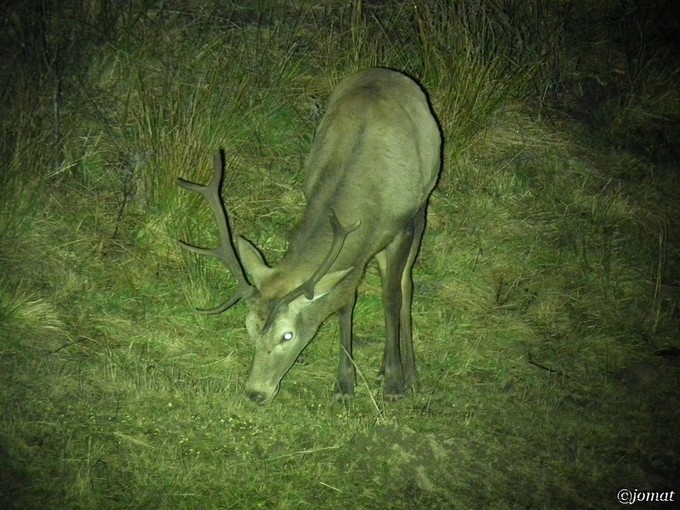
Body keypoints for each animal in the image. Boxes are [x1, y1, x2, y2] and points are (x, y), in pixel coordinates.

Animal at [178, 67, 440, 404]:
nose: (255, 392)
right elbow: (345, 302)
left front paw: (395, 383)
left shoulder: (401, 226)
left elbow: (392, 297)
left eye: (287, 335)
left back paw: (409, 374)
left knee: (406, 284)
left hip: (423, 202)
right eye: (249, 327)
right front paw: (345, 383)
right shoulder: (350, 260)